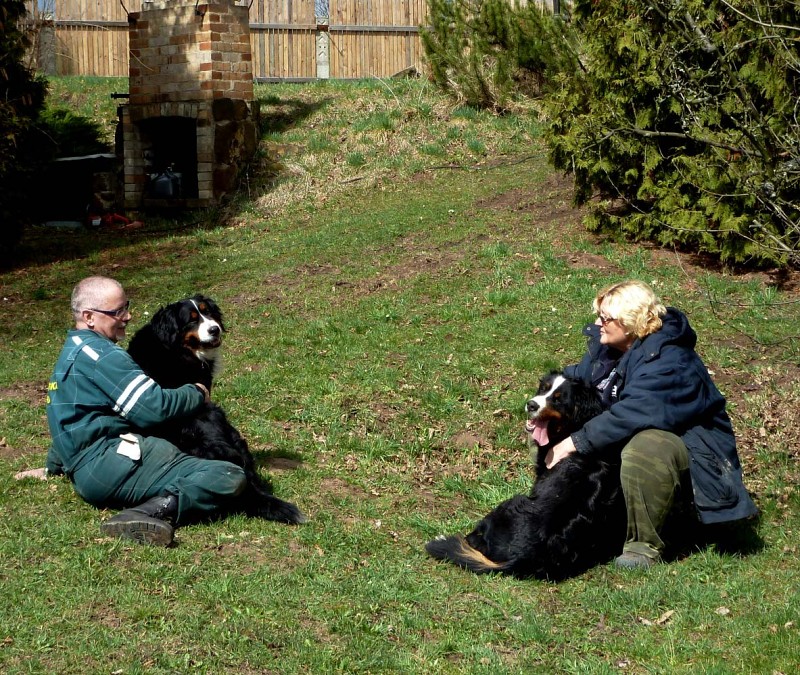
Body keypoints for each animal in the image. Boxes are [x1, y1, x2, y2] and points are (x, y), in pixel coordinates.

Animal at [424, 372, 624, 580]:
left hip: (510, 504)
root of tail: (520, 559)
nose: (532, 405)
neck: (575, 428)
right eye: (544, 388)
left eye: (558, 400)